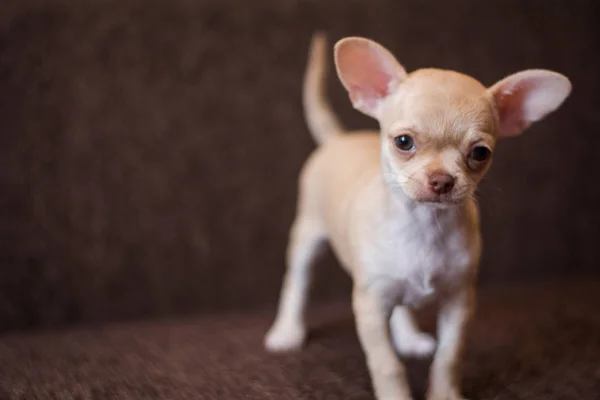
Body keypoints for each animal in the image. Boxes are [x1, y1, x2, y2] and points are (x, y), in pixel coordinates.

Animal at [264, 34, 572, 400]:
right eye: (403, 142)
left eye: (480, 153)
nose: (442, 180)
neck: (423, 225)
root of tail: (337, 138)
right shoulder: (369, 308)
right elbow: (387, 365)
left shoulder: (459, 304)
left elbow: (448, 358)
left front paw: (444, 394)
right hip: (307, 235)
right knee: (296, 282)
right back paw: (287, 331)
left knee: (401, 304)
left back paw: (408, 337)